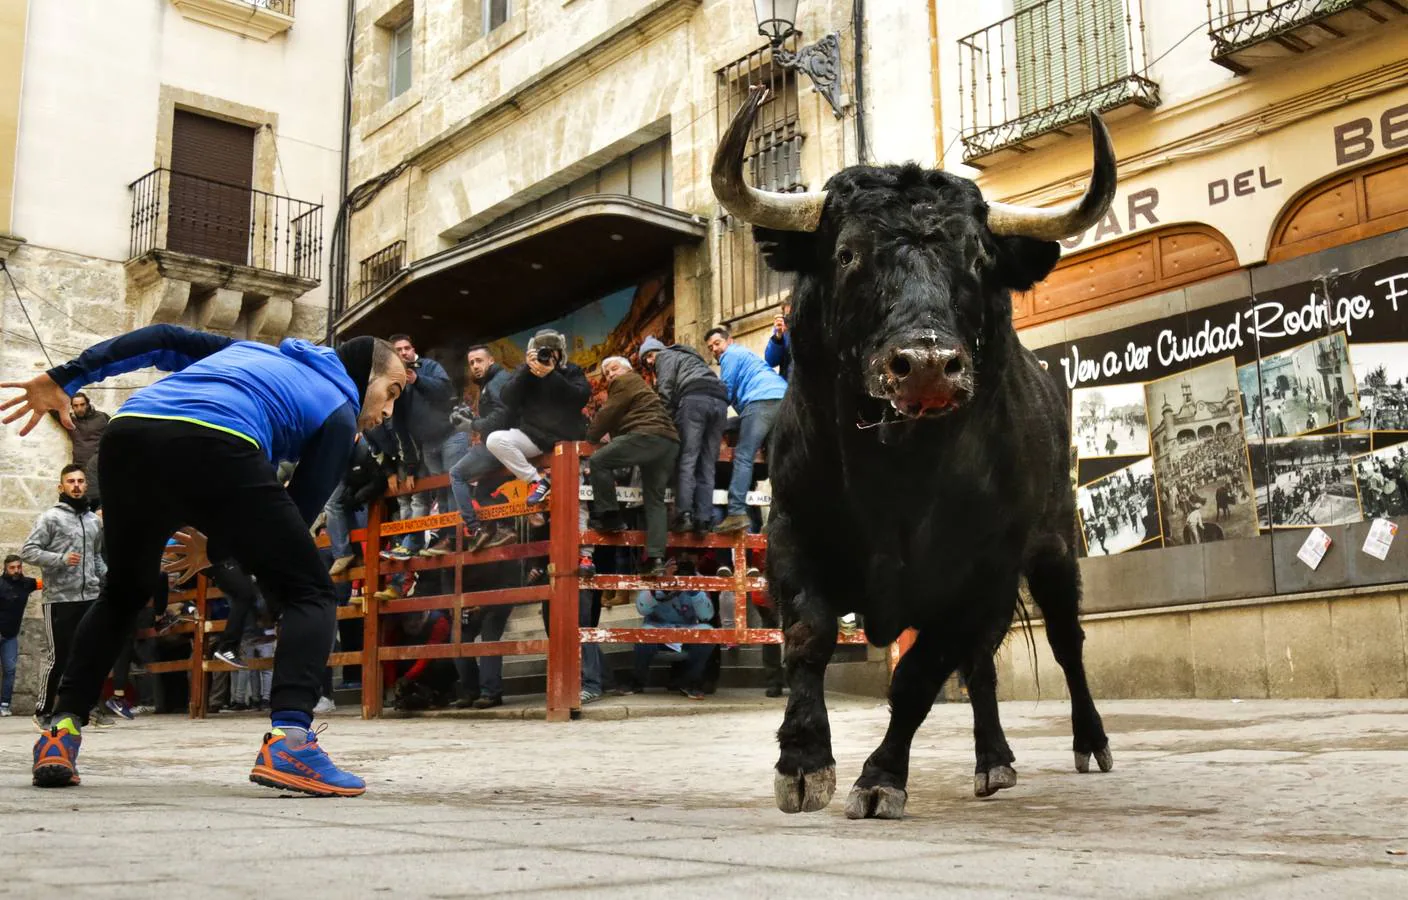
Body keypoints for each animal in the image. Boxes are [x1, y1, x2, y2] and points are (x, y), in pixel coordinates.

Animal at [715, 89, 1120, 816]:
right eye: (847, 253)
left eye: (980, 261)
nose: (928, 366)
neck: (896, 476)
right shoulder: (792, 533)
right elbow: (810, 637)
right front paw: (803, 762)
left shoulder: (981, 568)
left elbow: (919, 675)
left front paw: (879, 778)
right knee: (983, 662)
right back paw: (993, 760)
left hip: (1052, 548)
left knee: (1065, 642)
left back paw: (1088, 742)